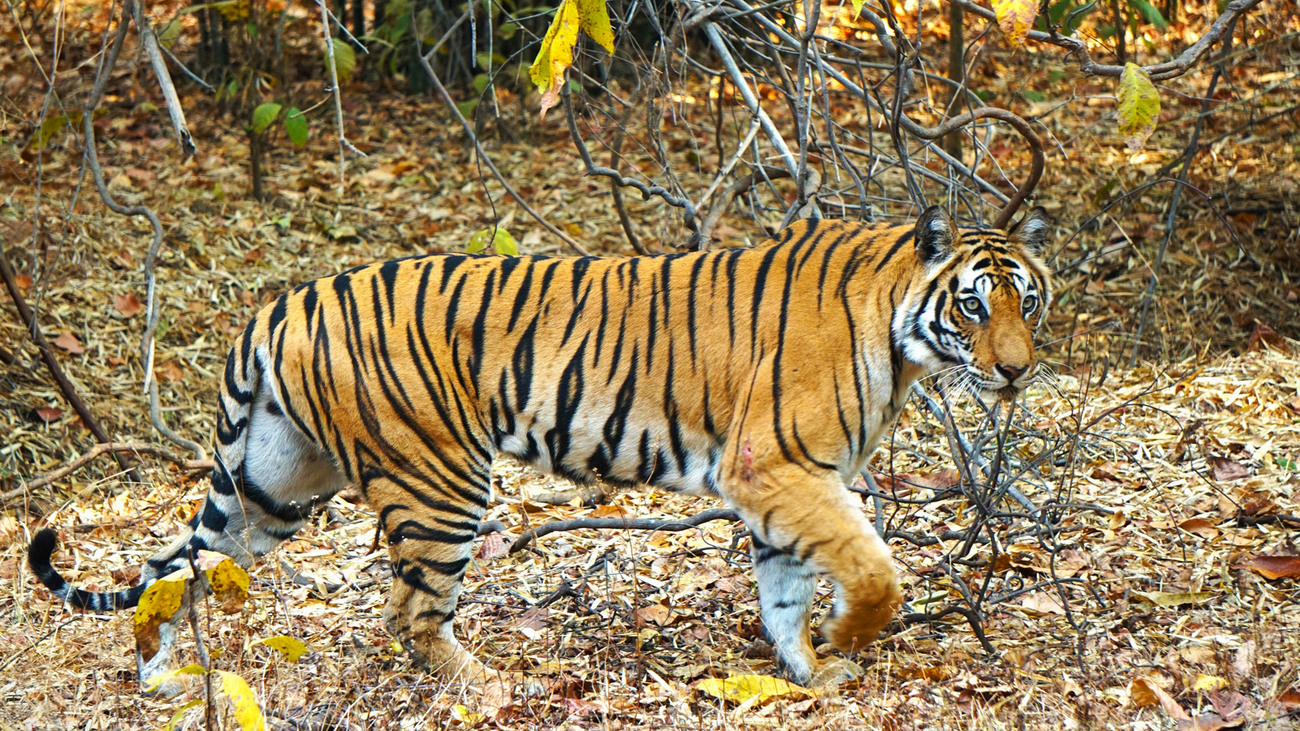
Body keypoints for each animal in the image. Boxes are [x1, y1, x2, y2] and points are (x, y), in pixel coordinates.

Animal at [30, 205, 1053, 690]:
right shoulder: (774, 464)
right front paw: (843, 642)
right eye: (974, 304)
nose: (1014, 371)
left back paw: (161, 675)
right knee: (410, 614)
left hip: (275, 483)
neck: (902, 337)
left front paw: (807, 670)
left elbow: (784, 586)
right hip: (439, 481)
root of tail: (282, 303)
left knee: (172, 569)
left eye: (1028, 301)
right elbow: (872, 568)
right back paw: (487, 688)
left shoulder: (787, 483)